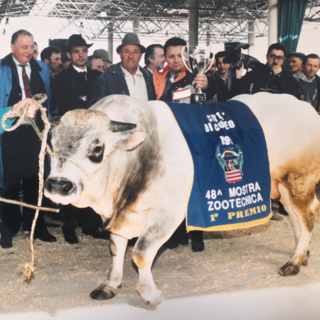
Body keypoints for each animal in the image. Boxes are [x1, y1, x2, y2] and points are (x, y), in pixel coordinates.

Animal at [44, 93, 320, 308]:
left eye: (97, 149)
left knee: (306, 217)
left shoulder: (168, 211)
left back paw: (294, 262)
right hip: (285, 186)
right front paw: (110, 284)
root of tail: (303, 106)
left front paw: (151, 295)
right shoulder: (119, 214)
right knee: (301, 215)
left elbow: (141, 252)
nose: (58, 185)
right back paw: (303, 254)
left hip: (299, 180)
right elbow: (116, 247)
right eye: (51, 146)